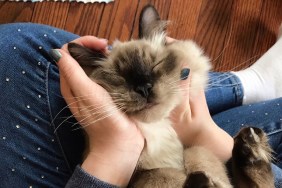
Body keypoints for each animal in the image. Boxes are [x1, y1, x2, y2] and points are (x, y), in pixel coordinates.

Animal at [67, 4, 274, 188]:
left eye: (156, 65)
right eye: (121, 77)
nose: (144, 88)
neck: (161, 128)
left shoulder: (192, 150)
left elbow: (198, 155)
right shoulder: (141, 175)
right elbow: (165, 174)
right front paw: (199, 181)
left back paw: (249, 147)